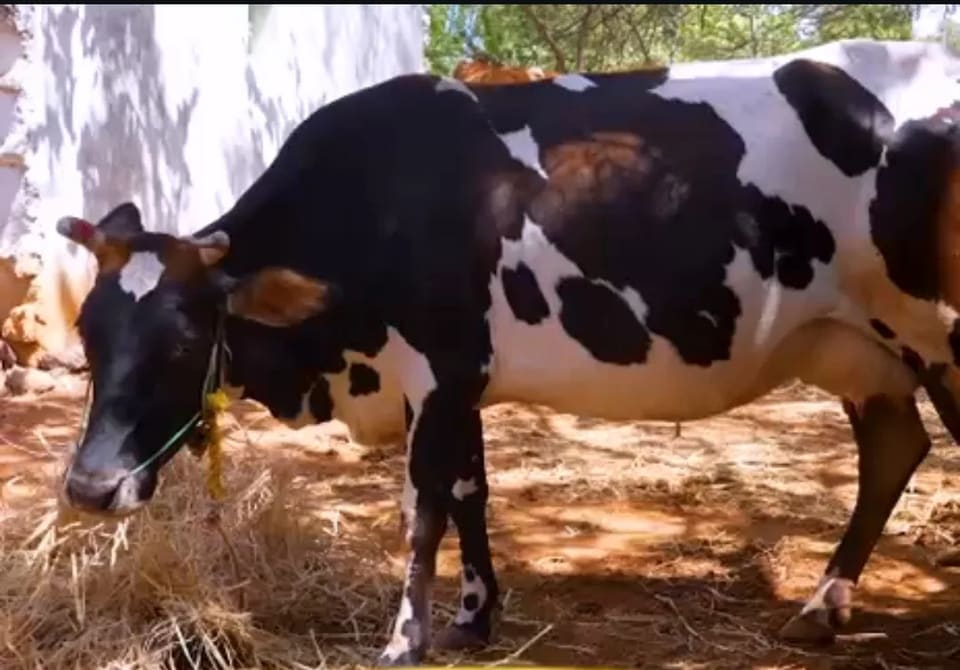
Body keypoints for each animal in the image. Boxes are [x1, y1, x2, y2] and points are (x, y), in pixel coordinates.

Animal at [53, 38, 960, 665]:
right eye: (90, 337)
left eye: (184, 342)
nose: (89, 489)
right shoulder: (460, 381)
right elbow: (469, 493)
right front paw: (473, 617)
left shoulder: (439, 368)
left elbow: (421, 511)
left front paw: (405, 639)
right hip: (860, 347)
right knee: (893, 449)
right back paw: (822, 606)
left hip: (939, 335)